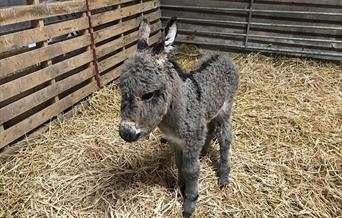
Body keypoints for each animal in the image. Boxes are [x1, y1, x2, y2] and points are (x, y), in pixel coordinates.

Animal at [119, 17, 239, 217]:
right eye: (121, 90)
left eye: (148, 95)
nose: (126, 134)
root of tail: (221, 55)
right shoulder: (175, 141)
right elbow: (179, 164)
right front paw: (182, 188)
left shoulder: (190, 141)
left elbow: (192, 170)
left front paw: (190, 203)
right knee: (210, 128)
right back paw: (204, 152)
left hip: (225, 108)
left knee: (225, 138)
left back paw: (223, 177)